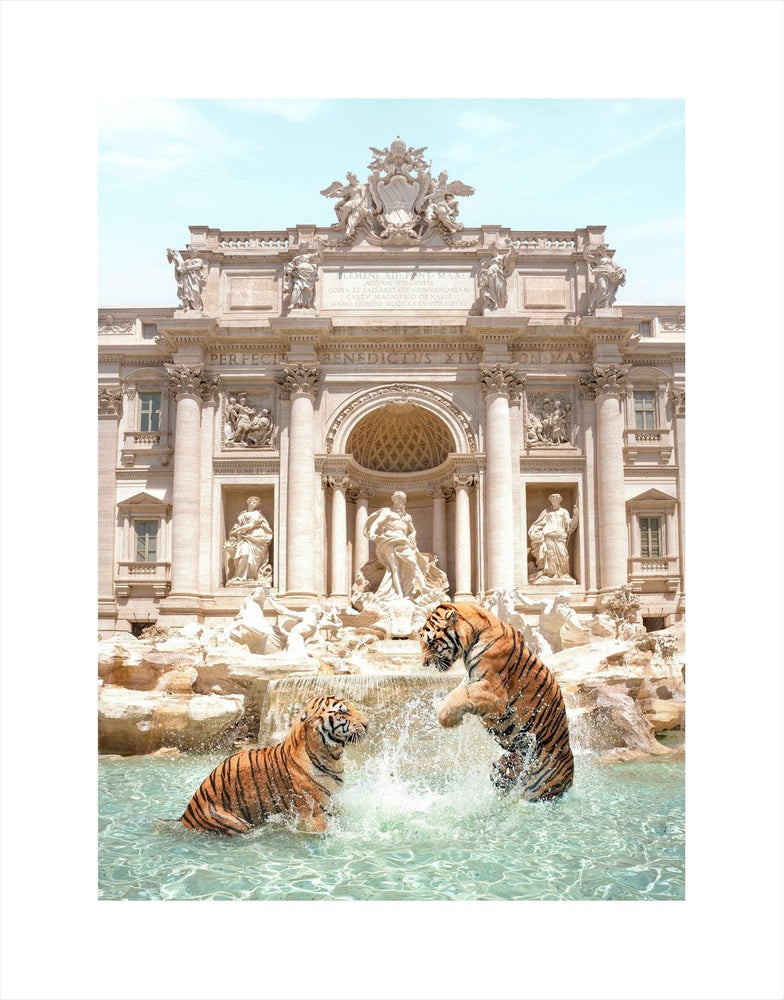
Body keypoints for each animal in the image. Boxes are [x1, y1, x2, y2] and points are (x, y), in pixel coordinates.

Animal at [181, 696, 370, 836]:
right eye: (342, 712)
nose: (367, 724)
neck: (333, 757)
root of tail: (185, 816)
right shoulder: (314, 815)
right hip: (231, 821)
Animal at [420, 600, 572, 804]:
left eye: (430, 642)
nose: (424, 664)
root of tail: (571, 777)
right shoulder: (473, 680)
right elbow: (458, 691)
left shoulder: (494, 692)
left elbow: (460, 694)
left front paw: (447, 719)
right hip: (502, 769)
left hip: (540, 788)